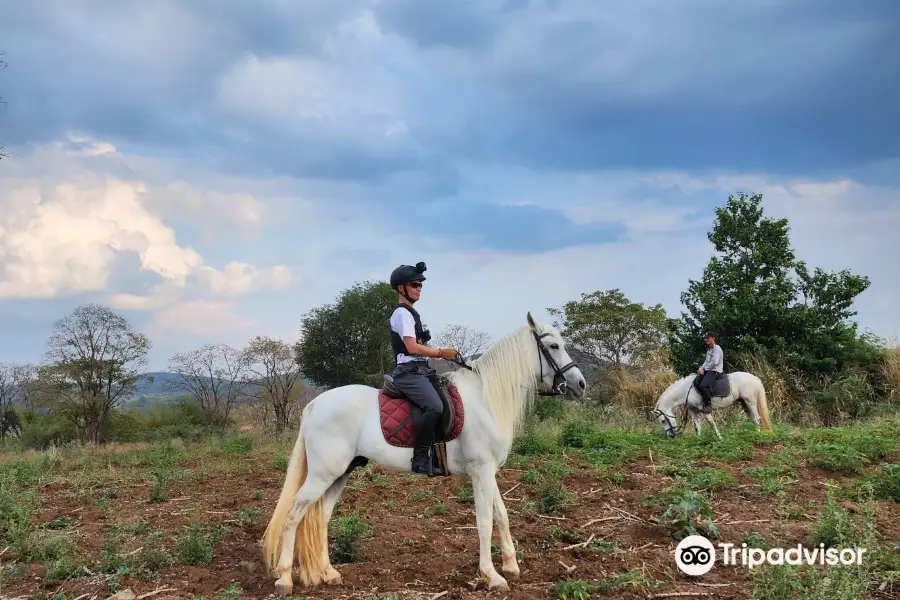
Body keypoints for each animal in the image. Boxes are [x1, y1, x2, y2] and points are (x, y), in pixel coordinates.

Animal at [262, 314, 584, 596]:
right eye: (553, 346)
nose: (580, 384)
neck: (485, 400)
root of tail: (314, 405)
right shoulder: (480, 471)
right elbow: (484, 522)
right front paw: (491, 576)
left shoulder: (489, 471)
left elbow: (501, 515)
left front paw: (511, 566)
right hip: (321, 475)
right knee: (292, 516)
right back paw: (284, 579)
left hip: (339, 474)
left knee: (321, 519)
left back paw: (328, 573)